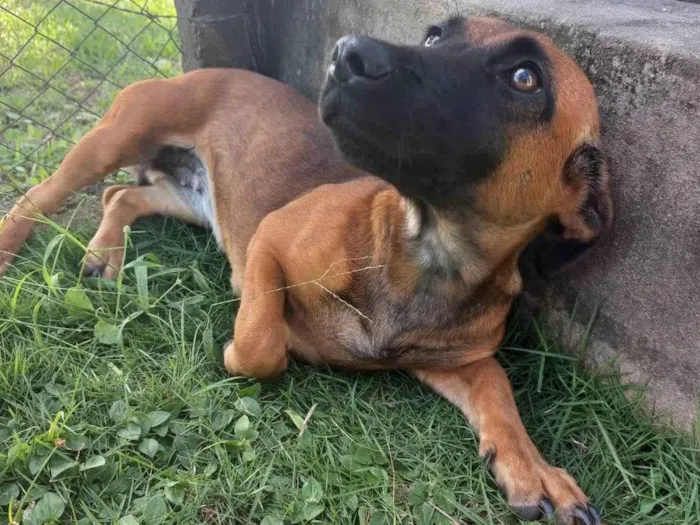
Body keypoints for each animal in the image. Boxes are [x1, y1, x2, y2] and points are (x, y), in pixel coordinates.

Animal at [1, 16, 608, 524]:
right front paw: (249, 345)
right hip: (113, 139)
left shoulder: (461, 362)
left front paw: (533, 468)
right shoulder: (270, 241)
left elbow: (499, 395)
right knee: (41, 196)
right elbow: (260, 347)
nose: (347, 52)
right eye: (434, 34)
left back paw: (104, 252)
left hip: (193, 200)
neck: (431, 253)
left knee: (120, 195)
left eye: (525, 77)